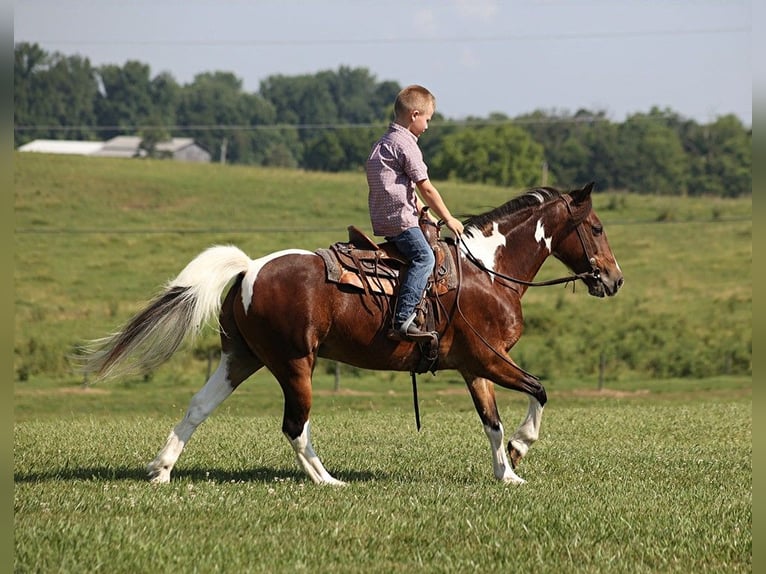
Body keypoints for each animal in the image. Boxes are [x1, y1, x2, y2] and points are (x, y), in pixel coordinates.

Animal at [82, 181, 624, 486]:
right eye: (596, 228)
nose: (614, 279)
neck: (488, 272)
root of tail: (250, 268)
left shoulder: (475, 368)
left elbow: (491, 421)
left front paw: (506, 472)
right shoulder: (489, 359)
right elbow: (539, 391)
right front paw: (520, 448)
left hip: (241, 358)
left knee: (198, 408)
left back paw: (161, 471)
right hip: (295, 364)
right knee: (295, 426)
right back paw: (328, 481)